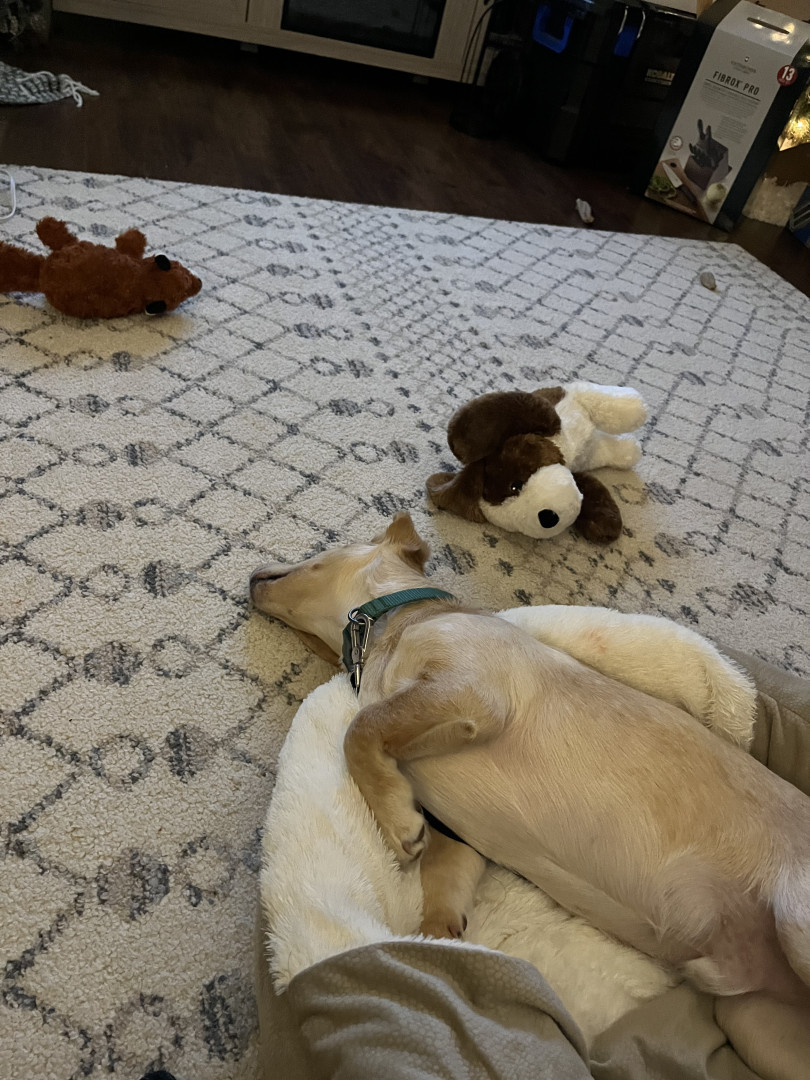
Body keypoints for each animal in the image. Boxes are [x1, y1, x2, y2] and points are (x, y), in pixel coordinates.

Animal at [250, 513, 810, 1024]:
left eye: (317, 556)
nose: (251, 575)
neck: (393, 627)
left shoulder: (471, 692)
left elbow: (362, 726)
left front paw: (395, 821)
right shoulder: (458, 835)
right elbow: (441, 882)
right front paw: (434, 945)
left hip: (797, 922)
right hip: (752, 1019)